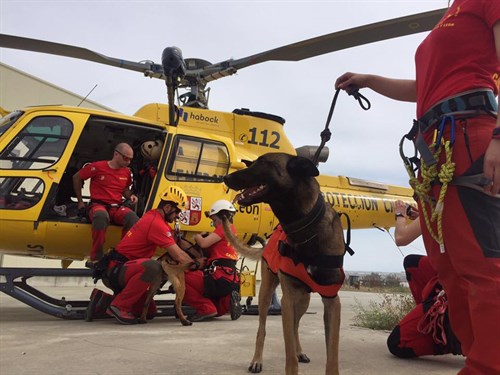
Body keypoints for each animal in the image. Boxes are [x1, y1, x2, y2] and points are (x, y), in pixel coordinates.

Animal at [224, 153, 348, 375]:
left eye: (263, 162)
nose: (226, 178)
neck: (306, 229)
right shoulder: (288, 301)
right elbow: (289, 356)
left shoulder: (332, 301)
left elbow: (332, 354)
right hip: (267, 294)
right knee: (262, 329)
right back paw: (257, 360)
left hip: (303, 300)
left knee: (296, 326)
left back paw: (300, 351)